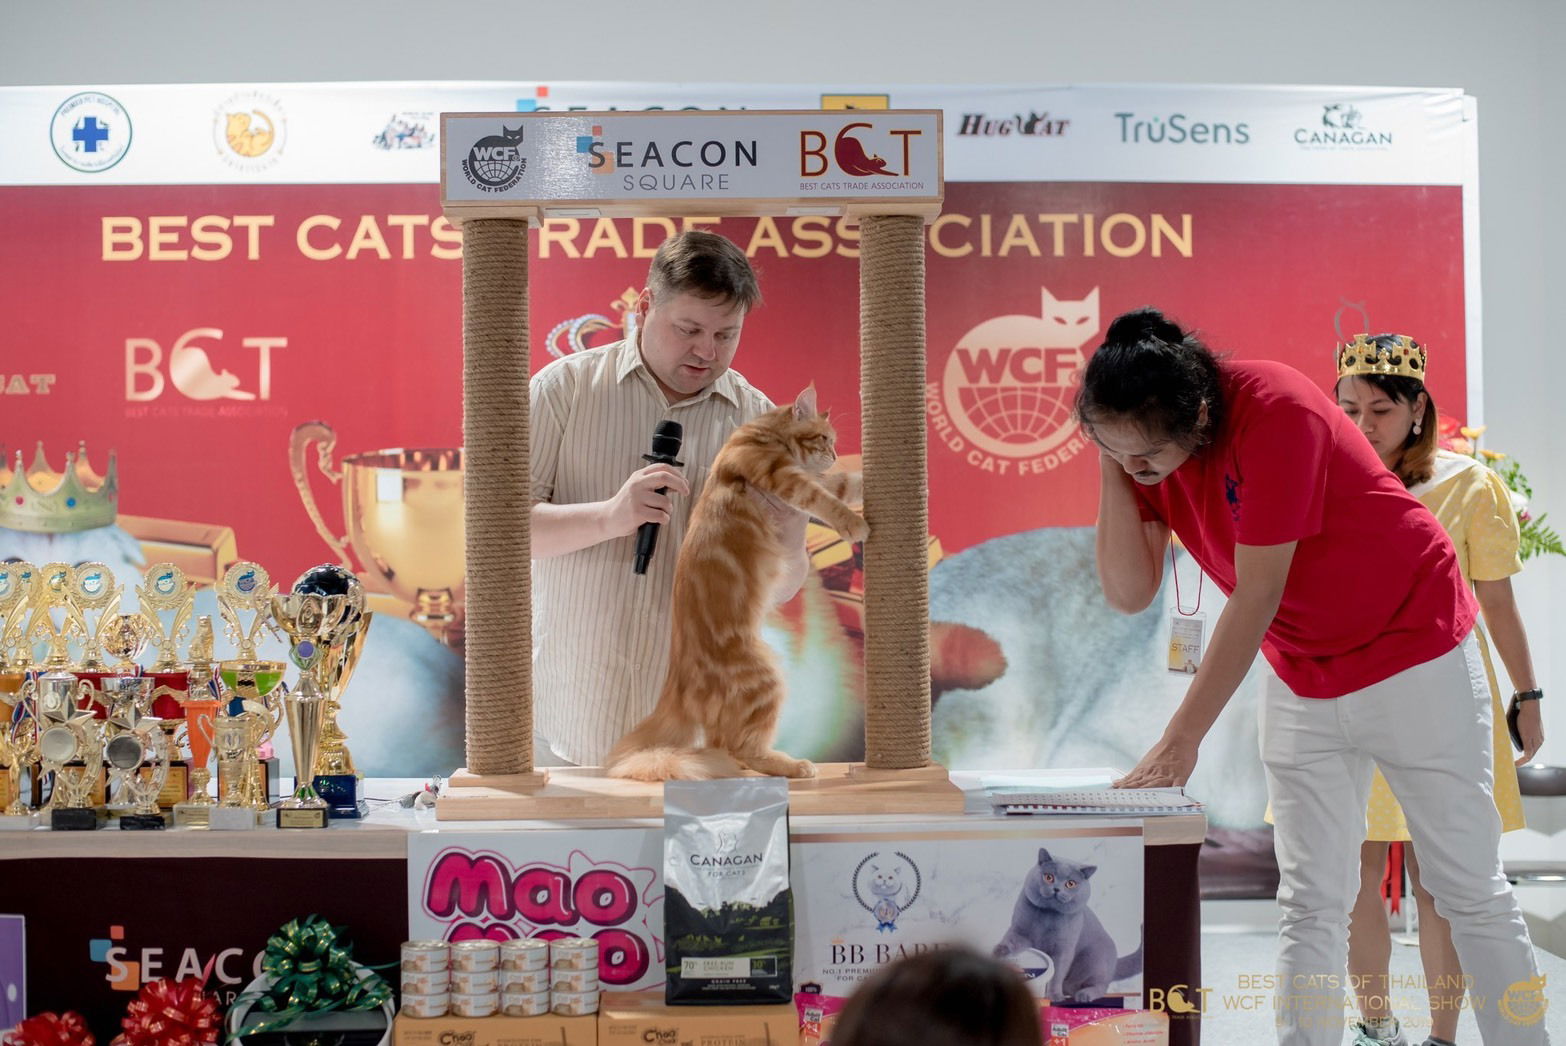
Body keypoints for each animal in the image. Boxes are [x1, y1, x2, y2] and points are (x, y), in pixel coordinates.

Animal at [604, 382, 870, 776]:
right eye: (825, 439)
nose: (836, 453)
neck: (762, 433)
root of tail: (676, 681)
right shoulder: (782, 476)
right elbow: (826, 500)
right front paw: (853, 524)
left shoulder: (808, 476)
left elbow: (842, 485)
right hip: (764, 679)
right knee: (742, 747)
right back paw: (793, 765)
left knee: (725, 746)